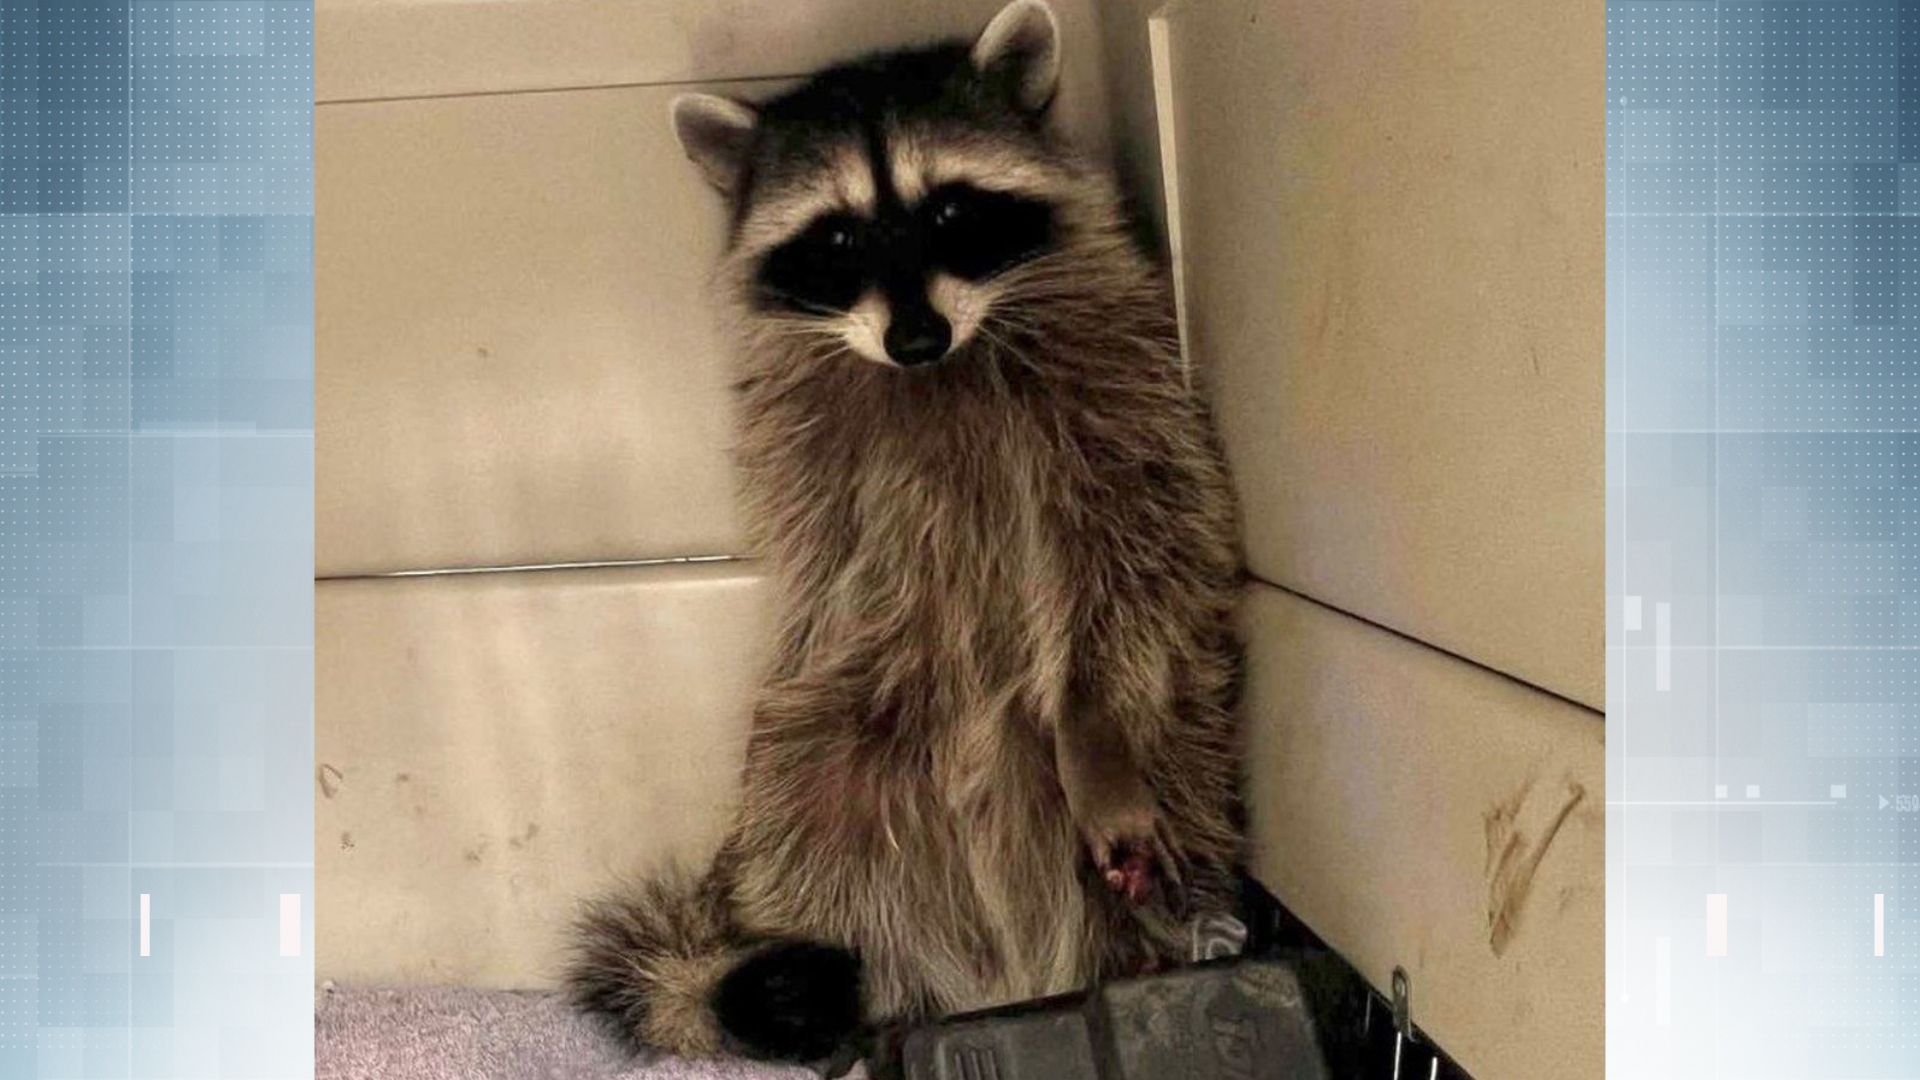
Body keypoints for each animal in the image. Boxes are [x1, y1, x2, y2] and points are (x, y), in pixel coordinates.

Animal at [568, 1, 1244, 1066]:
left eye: (950, 213)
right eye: (839, 235)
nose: (917, 339)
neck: (941, 364)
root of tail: (1004, 967)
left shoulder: (1122, 387)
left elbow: (1133, 547)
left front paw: (1092, 728)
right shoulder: (807, 459)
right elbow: (829, 575)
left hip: (1180, 731)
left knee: (1180, 762)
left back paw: (1163, 932)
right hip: (843, 739)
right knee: (809, 830)